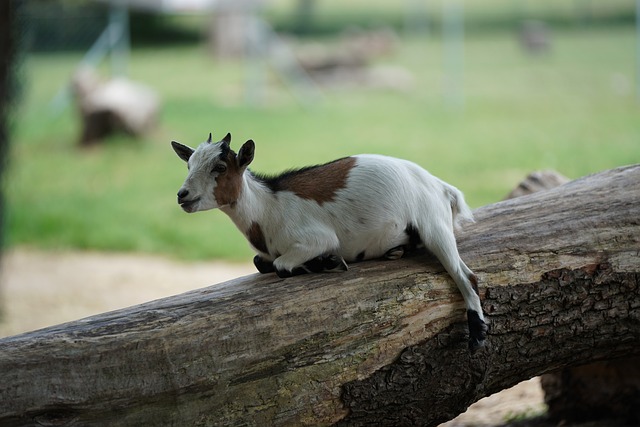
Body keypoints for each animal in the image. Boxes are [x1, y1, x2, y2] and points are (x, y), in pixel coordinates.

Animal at [172, 133, 488, 352]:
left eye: (220, 166)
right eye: (189, 164)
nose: (182, 195)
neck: (268, 210)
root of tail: (440, 185)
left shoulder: (315, 238)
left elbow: (282, 266)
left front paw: (327, 261)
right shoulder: (266, 252)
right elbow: (261, 262)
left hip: (433, 224)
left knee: (466, 276)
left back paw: (477, 333)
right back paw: (396, 249)